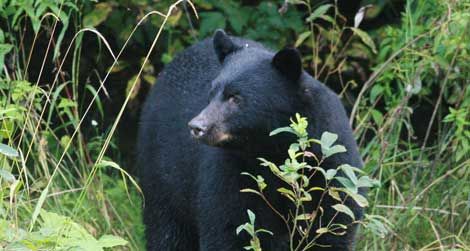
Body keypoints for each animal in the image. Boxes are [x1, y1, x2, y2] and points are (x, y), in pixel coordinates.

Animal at [136, 30, 364, 250]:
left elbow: (331, 227)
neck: (270, 148)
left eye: (235, 98)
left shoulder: (329, 167)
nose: (197, 127)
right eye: (211, 94)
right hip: (162, 173)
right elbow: (229, 227)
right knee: (167, 230)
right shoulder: (232, 171)